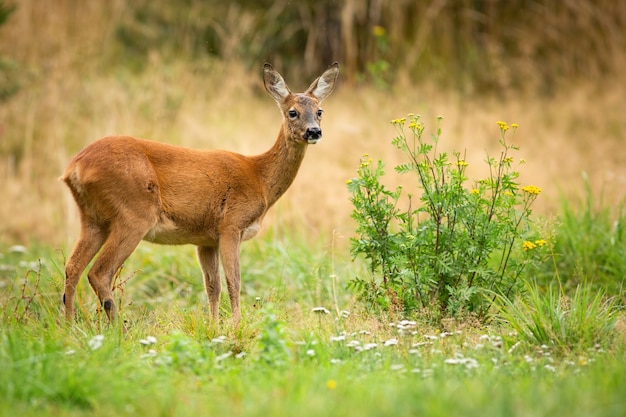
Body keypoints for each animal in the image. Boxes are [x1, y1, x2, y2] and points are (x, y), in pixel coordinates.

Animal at [61, 61, 338, 324]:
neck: (259, 178)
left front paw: (214, 327)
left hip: (93, 218)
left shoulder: (206, 239)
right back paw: (120, 329)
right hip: (134, 214)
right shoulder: (231, 225)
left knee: (72, 267)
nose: (314, 131)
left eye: (319, 111)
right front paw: (236, 326)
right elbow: (234, 282)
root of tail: (75, 167)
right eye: (292, 112)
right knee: (98, 272)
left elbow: (212, 286)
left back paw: (70, 326)